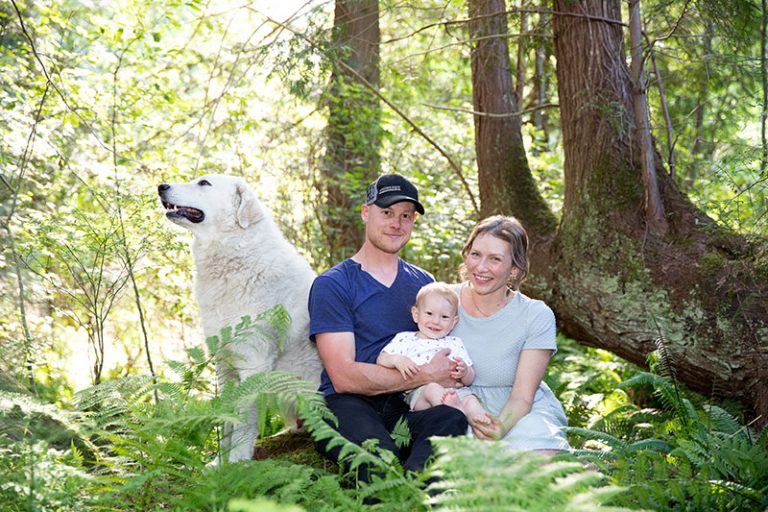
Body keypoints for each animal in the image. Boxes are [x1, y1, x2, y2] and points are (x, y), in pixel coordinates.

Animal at [159, 174, 320, 462]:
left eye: (204, 183)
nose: (161, 186)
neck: (237, 254)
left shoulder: (253, 365)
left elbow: (244, 422)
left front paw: (236, 462)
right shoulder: (224, 366)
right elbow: (226, 421)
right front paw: (218, 462)